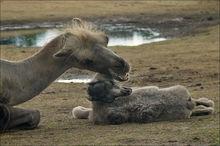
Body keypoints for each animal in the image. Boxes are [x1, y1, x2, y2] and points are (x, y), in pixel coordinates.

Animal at [73, 73, 214, 124]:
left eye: (113, 83)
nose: (127, 90)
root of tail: (186, 104)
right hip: (180, 91)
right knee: (197, 105)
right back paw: (208, 105)